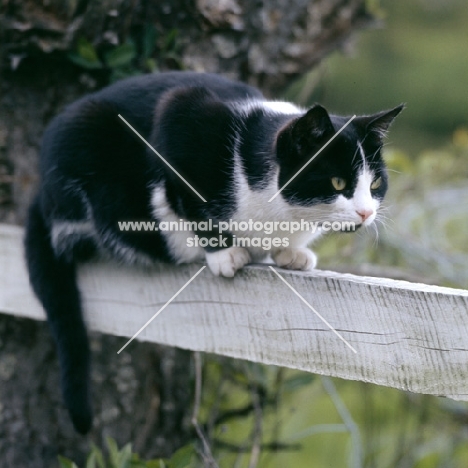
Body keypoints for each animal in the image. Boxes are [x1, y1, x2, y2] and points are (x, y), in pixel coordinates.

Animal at [24, 71, 402, 434]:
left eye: (375, 184)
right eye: (338, 183)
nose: (367, 213)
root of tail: (40, 192)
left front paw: (291, 253)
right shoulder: (179, 117)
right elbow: (186, 199)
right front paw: (225, 253)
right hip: (82, 137)